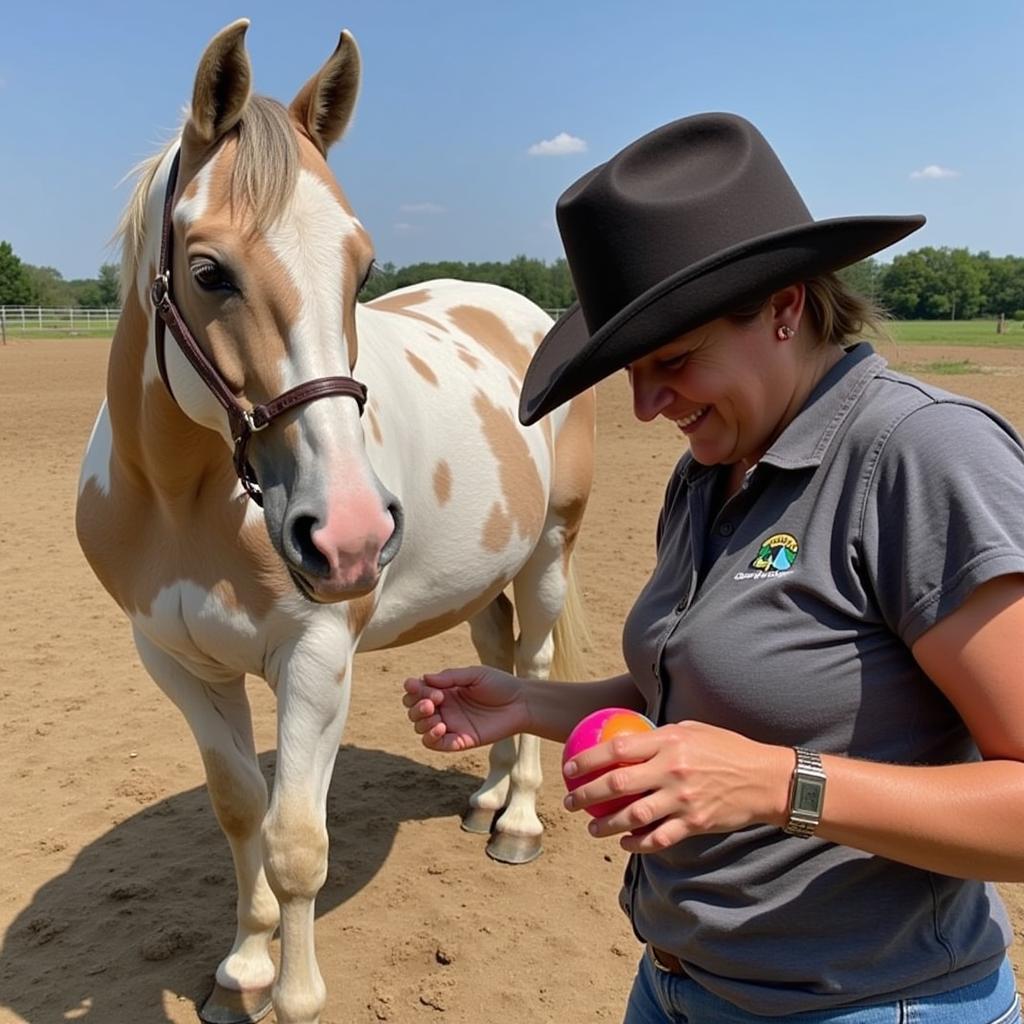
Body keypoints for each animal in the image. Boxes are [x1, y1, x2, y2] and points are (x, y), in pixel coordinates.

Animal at [75, 18, 598, 1024]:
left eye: (361, 269)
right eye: (208, 271)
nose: (350, 536)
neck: (184, 501)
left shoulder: (316, 660)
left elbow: (296, 845)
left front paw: (293, 994)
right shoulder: (176, 660)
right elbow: (239, 809)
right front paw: (242, 970)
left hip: (551, 552)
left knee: (536, 662)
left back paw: (516, 821)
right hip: (485, 572)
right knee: (497, 661)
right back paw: (483, 802)